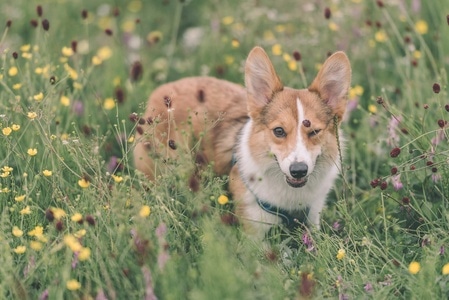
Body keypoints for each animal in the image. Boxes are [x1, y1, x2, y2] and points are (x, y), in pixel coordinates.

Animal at [133, 47, 350, 238]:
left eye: (314, 131)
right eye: (279, 131)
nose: (298, 171)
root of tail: (162, 90)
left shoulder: (312, 217)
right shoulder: (254, 231)